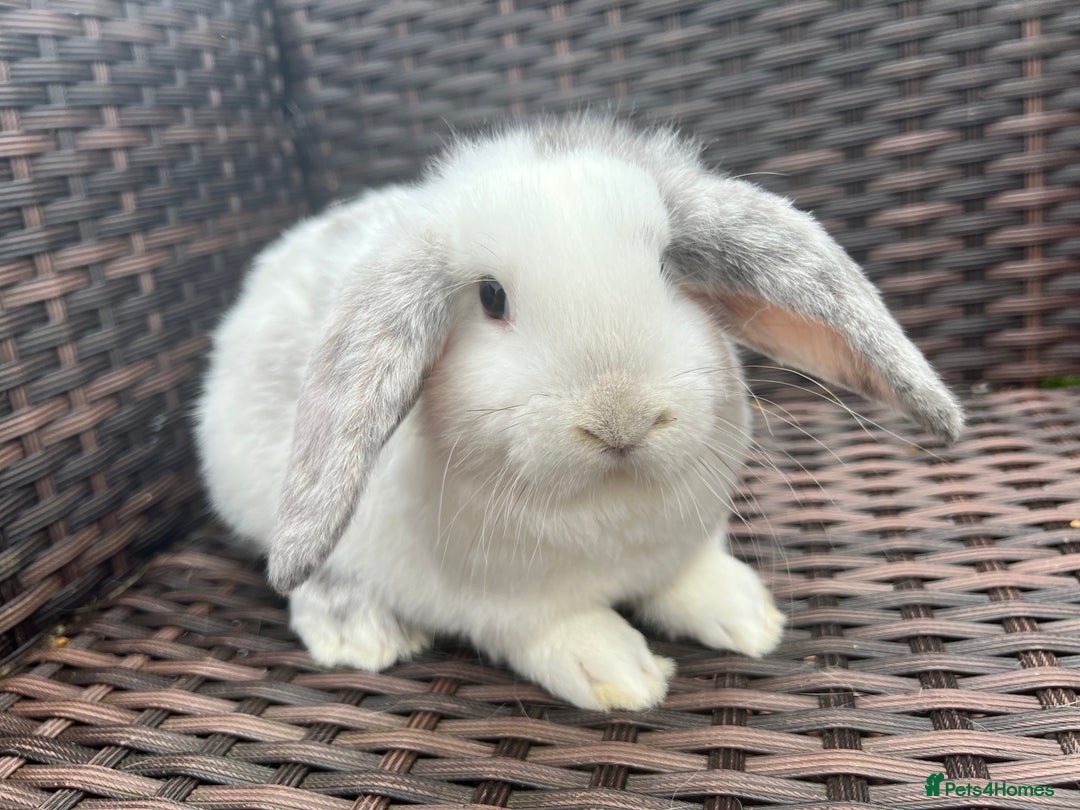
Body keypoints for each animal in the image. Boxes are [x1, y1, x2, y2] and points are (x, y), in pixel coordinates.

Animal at [194, 116, 963, 711]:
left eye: (668, 267)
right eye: (492, 297)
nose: (621, 417)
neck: (608, 508)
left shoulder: (684, 544)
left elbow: (692, 577)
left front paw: (750, 617)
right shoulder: (505, 608)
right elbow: (556, 631)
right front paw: (625, 675)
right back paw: (361, 636)